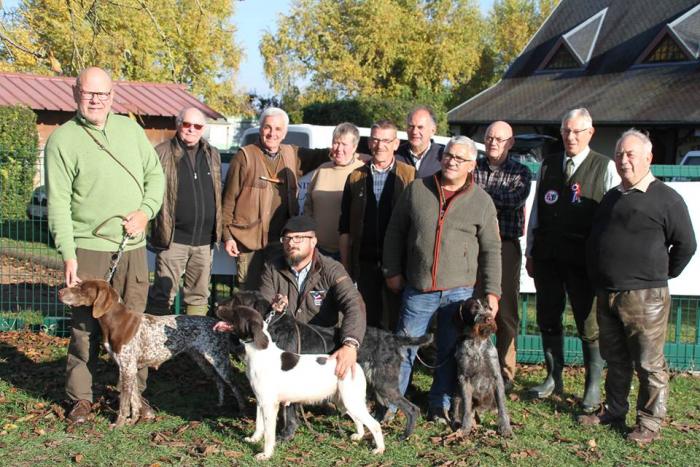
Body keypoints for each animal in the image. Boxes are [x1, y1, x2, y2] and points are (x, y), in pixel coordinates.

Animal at [58, 280, 247, 426]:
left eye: (81, 287)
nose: (60, 292)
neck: (115, 321)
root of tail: (219, 324)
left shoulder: (126, 369)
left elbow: (124, 403)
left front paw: (118, 424)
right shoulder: (130, 369)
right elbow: (134, 400)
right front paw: (132, 421)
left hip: (219, 361)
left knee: (235, 385)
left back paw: (242, 410)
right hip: (203, 360)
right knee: (219, 382)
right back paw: (219, 404)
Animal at [215, 306, 386, 462]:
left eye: (235, 311)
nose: (217, 306)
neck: (260, 353)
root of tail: (355, 364)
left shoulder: (270, 404)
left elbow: (269, 435)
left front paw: (266, 454)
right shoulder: (260, 401)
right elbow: (259, 425)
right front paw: (254, 439)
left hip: (351, 401)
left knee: (375, 425)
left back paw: (379, 449)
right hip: (344, 401)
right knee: (359, 420)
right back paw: (358, 436)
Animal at [219, 290, 432, 440]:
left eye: (236, 300)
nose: (216, 306)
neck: (271, 328)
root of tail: (392, 338)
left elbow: (289, 415)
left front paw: (285, 436)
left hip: (384, 384)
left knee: (412, 409)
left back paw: (404, 436)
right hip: (376, 385)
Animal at [452, 298, 512, 436]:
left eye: (488, 307)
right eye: (473, 308)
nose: (489, 318)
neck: (477, 341)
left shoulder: (496, 376)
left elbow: (502, 406)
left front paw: (505, 427)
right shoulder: (464, 378)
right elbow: (466, 408)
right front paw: (465, 428)